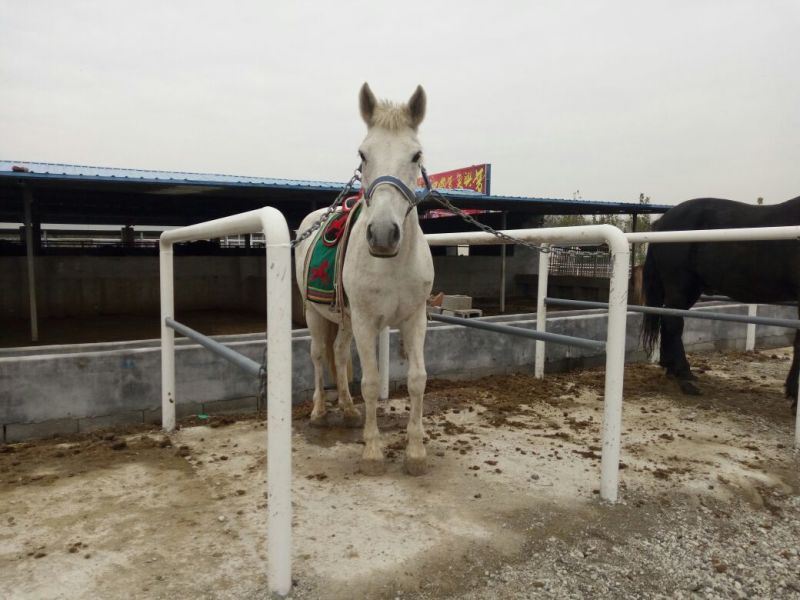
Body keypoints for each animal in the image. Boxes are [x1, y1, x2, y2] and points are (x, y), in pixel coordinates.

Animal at [294, 83, 434, 475]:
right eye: (363, 153)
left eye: (416, 154)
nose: (383, 235)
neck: (392, 264)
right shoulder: (367, 321)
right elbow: (371, 382)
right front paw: (372, 451)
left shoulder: (415, 318)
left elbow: (417, 380)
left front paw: (415, 452)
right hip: (316, 315)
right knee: (317, 355)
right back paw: (320, 411)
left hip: (344, 319)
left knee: (340, 354)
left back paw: (347, 408)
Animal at [640, 195, 800, 413]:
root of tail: (662, 222)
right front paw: (794, 396)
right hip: (680, 285)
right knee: (673, 324)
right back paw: (685, 376)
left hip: (691, 289)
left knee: (668, 320)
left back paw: (671, 368)